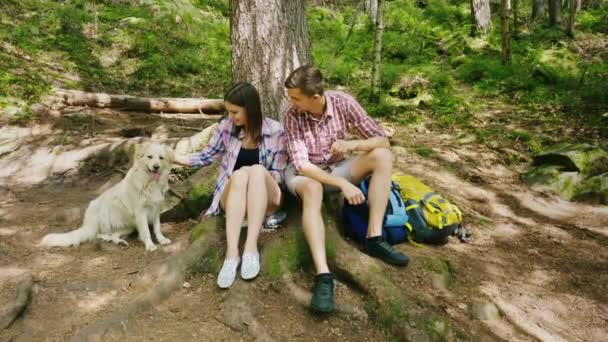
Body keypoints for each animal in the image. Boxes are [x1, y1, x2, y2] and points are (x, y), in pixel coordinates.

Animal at [40, 142, 175, 251]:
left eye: (161, 158)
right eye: (149, 157)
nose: (156, 167)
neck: (150, 183)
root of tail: (88, 222)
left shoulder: (156, 209)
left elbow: (157, 228)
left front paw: (162, 240)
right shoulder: (140, 212)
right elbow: (146, 231)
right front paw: (150, 245)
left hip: (128, 225)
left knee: (114, 234)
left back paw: (119, 242)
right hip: (105, 213)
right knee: (99, 234)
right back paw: (108, 239)